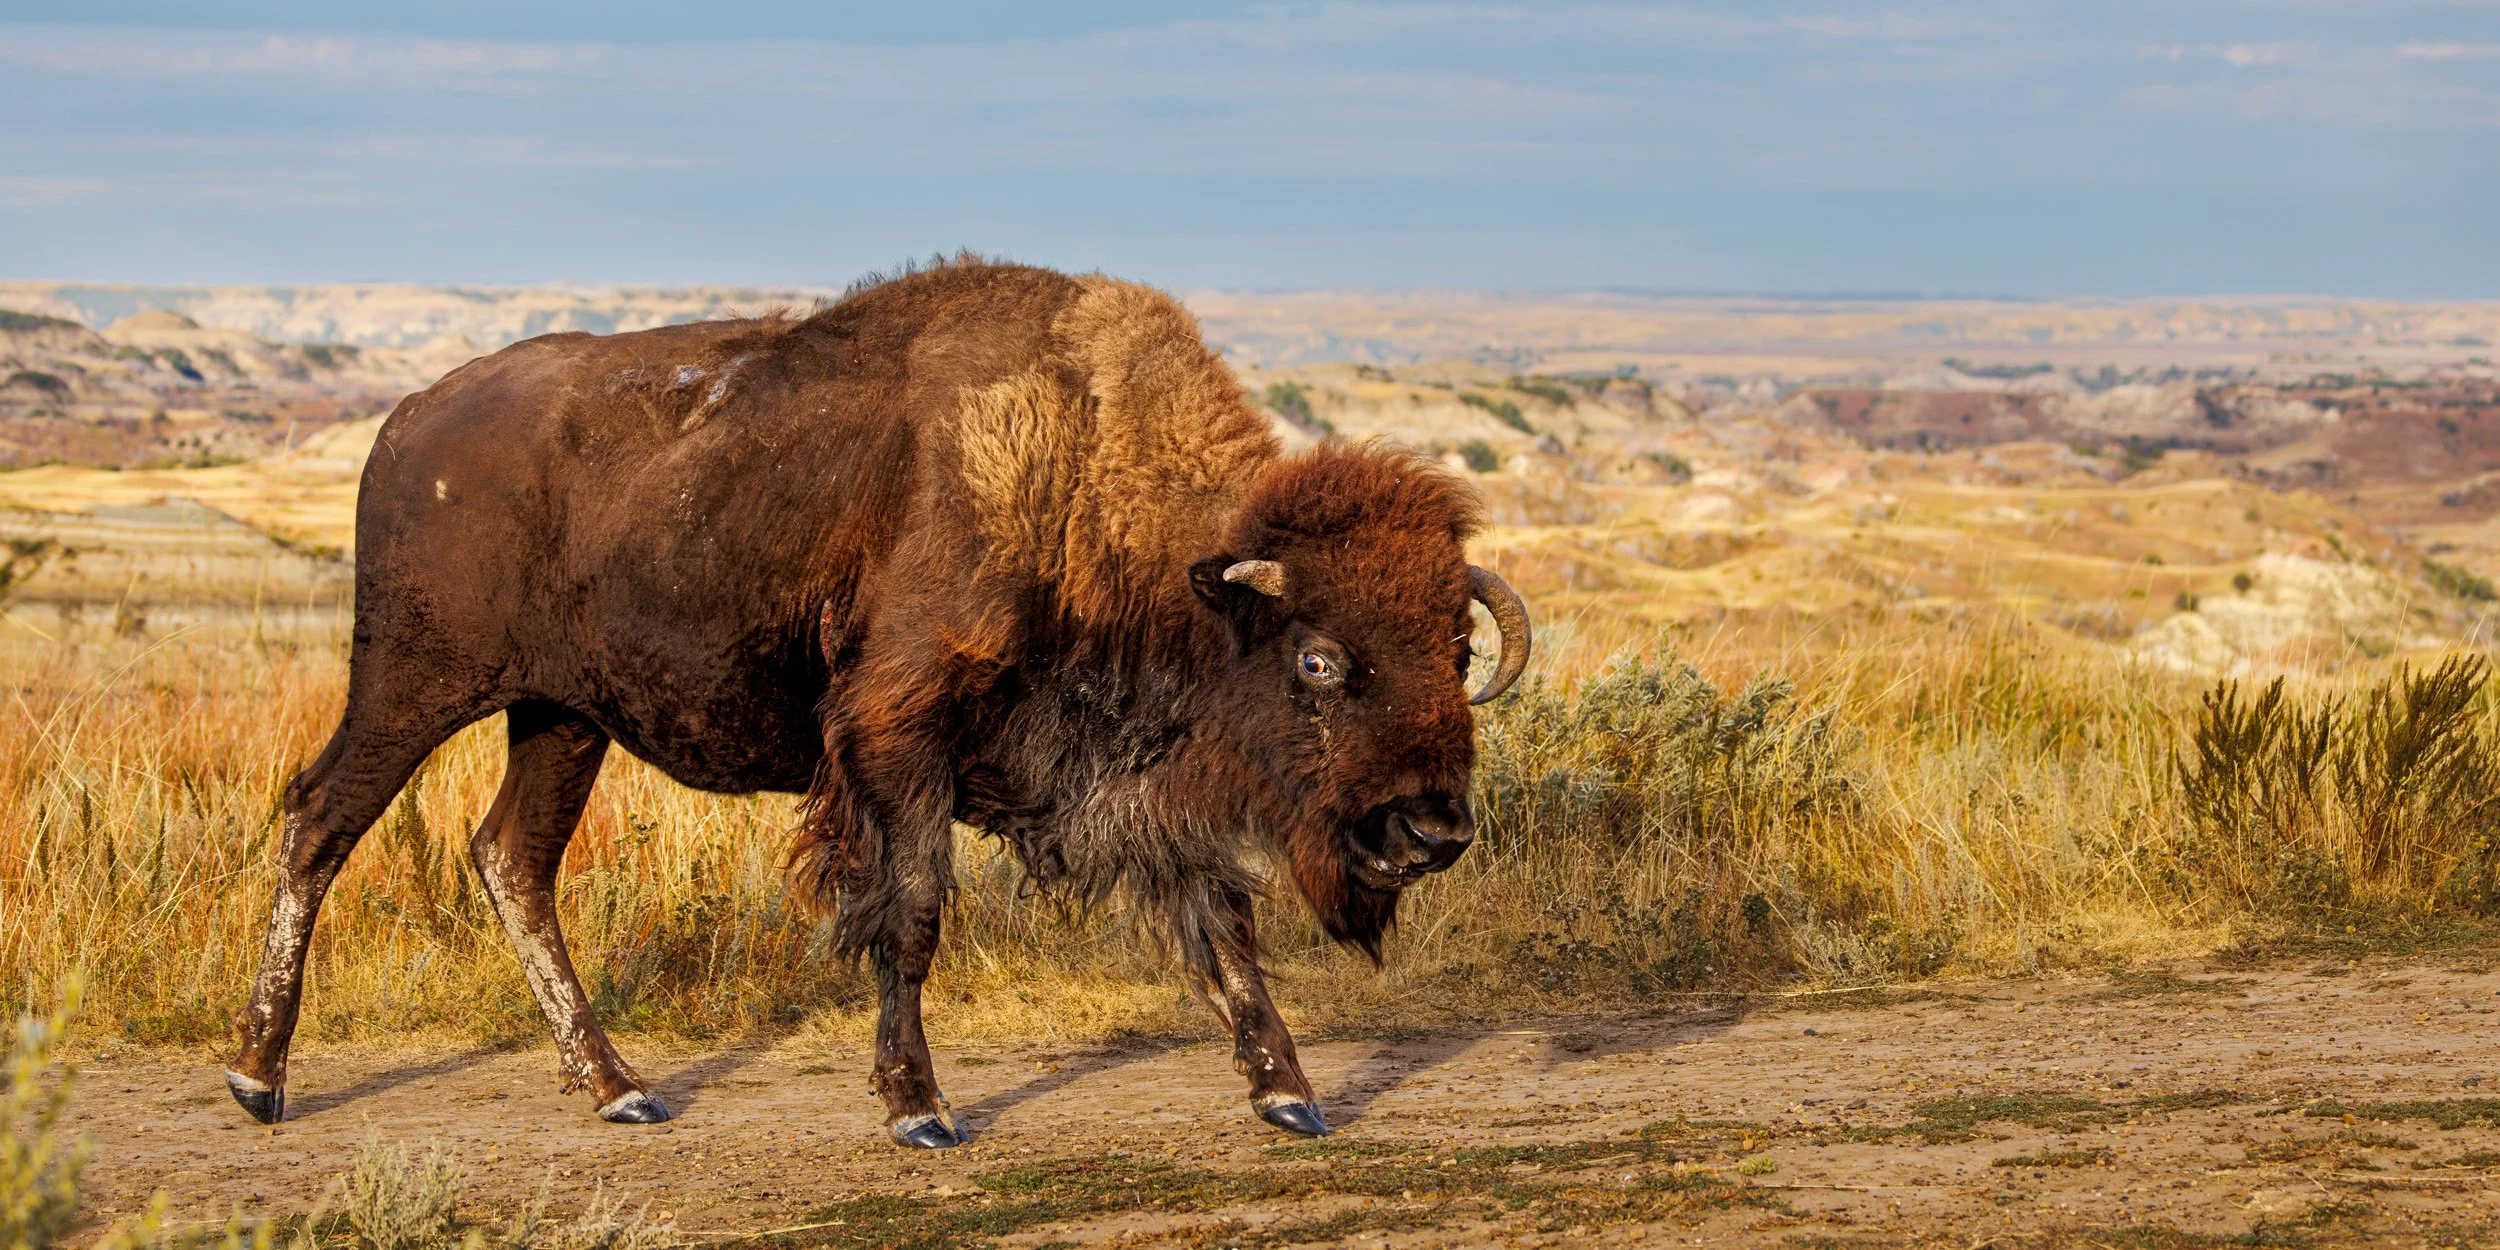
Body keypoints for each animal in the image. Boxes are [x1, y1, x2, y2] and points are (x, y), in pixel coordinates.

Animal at [227, 258, 1530, 1146]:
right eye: (1317, 659)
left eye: (1455, 642)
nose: (1430, 827)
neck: (1078, 486)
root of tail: (406, 419)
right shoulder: (896, 740)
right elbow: (910, 913)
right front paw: (919, 1108)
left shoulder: (1144, 790)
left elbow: (1223, 933)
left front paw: (1290, 1095)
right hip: (414, 682)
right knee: (322, 819)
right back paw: (258, 1077)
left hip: (563, 716)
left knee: (511, 857)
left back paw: (621, 1088)